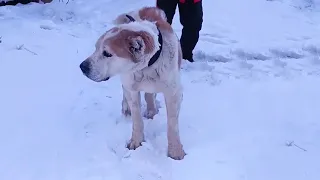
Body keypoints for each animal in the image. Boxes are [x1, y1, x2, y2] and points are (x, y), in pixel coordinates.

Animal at [78, 6, 185, 160]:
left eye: (107, 53)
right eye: (96, 48)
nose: (82, 67)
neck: (148, 66)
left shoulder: (174, 93)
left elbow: (172, 124)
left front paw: (175, 151)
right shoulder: (132, 88)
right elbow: (137, 119)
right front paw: (136, 141)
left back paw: (151, 111)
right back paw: (128, 108)